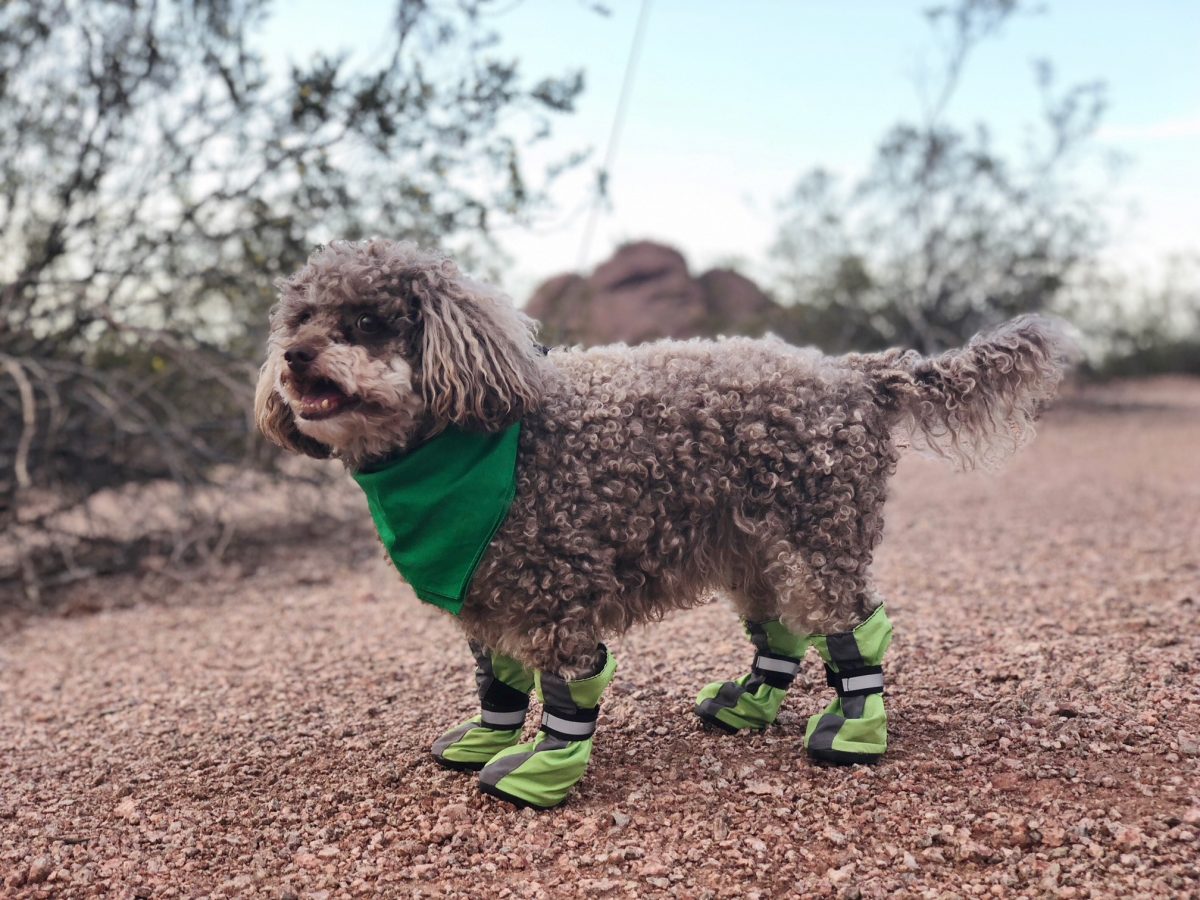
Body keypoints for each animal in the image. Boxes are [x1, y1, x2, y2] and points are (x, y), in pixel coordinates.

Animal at [255, 237, 1080, 811]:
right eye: (299, 319)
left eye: (367, 321)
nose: (293, 356)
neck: (469, 442)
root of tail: (855, 372)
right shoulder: (486, 590)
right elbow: (500, 678)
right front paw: (487, 736)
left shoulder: (552, 590)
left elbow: (568, 691)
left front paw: (540, 773)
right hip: (751, 543)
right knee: (781, 630)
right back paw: (749, 703)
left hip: (819, 534)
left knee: (852, 628)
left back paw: (855, 730)